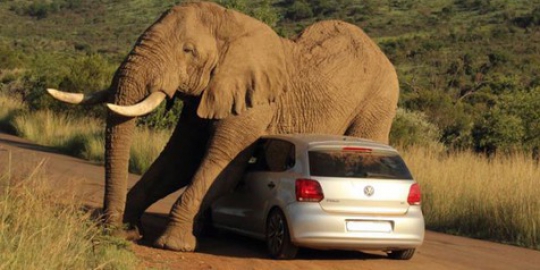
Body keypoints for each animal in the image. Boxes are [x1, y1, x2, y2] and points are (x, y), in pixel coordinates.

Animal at [46, 1, 398, 252]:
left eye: (188, 51)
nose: (109, 232)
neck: (231, 24)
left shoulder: (255, 104)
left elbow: (221, 166)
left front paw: (173, 245)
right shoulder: (207, 93)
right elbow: (179, 160)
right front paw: (129, 231)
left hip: (379, 100)